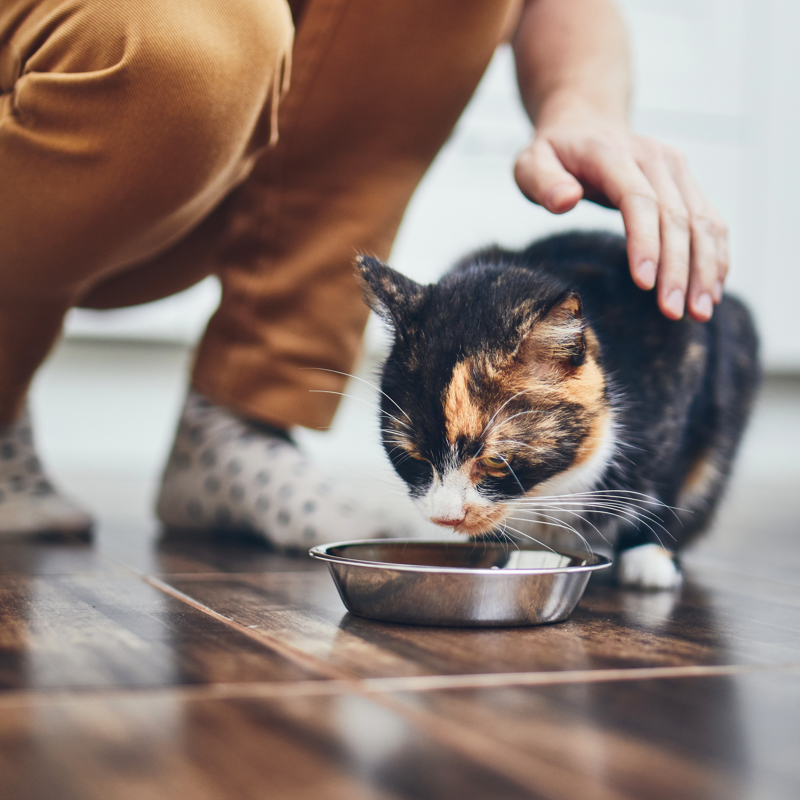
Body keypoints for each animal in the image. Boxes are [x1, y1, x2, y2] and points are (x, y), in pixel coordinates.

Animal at [360, 231, 760, 588]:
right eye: (412, 457)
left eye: (496, 460)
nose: (446, 518)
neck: (546, 491)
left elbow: (667, 480)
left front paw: (649, 555)